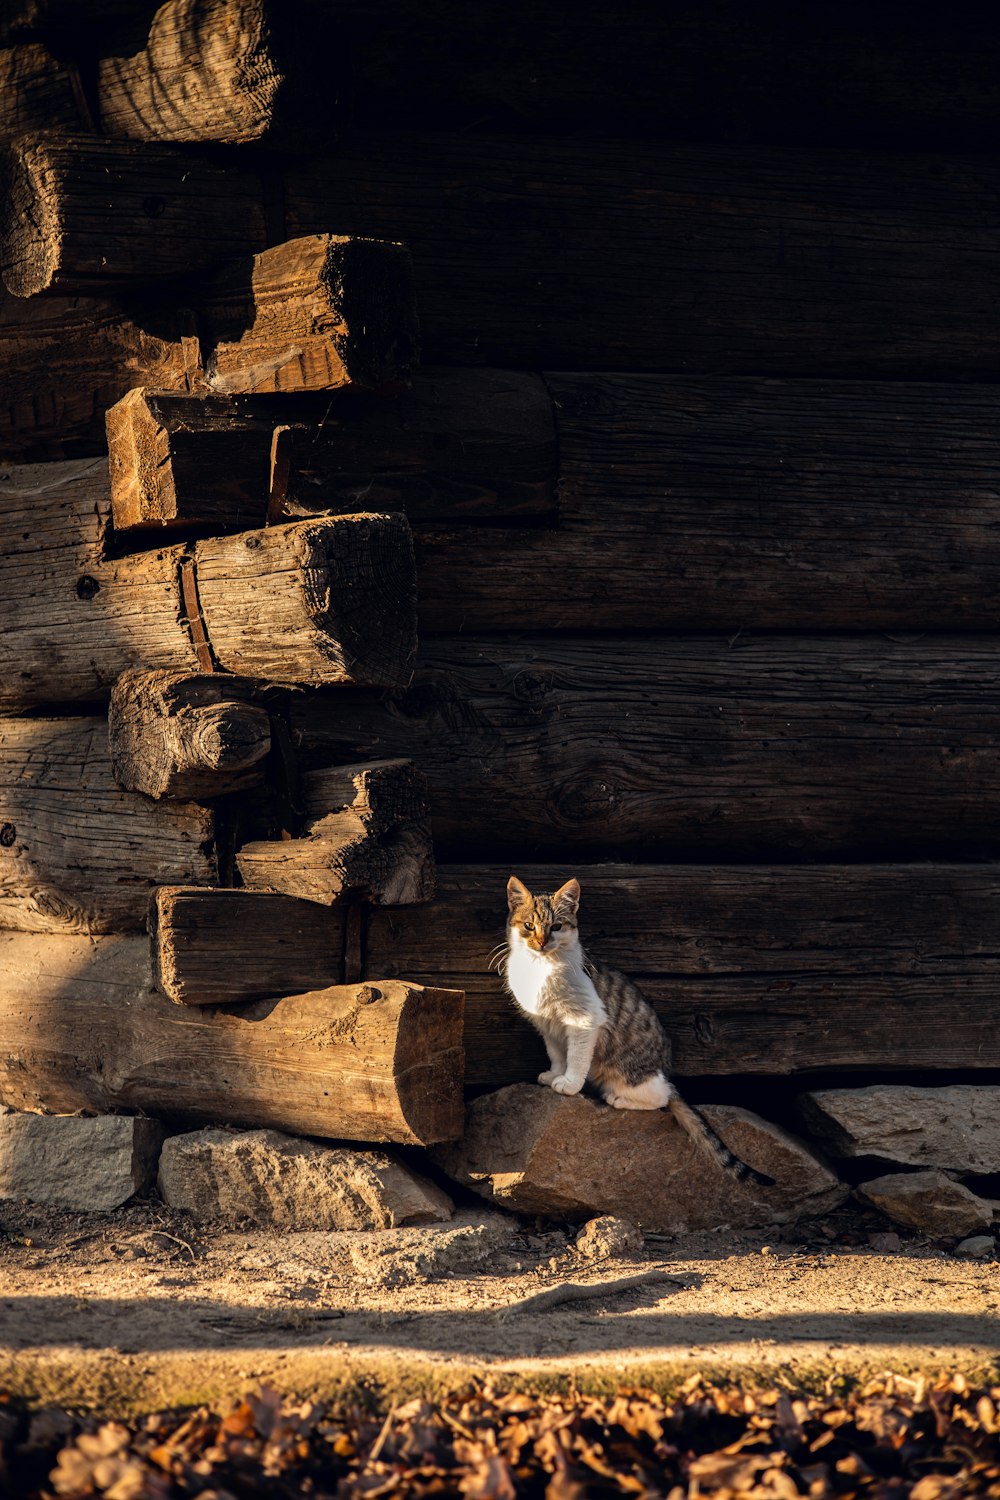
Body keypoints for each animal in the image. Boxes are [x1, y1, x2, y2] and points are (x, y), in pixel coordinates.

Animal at [503, 876, 779, 1182]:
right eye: (529, 926)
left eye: (556, 927)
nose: (541, 942)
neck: (540, 967)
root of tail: (665, 1069)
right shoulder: (548, 1025)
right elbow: (557, 1054)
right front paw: (554, 1075)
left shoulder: (584, 1019)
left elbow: (575, 1058)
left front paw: (570, 1084)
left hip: (630, 1074)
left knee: (662, 1095)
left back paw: (618, 1098)